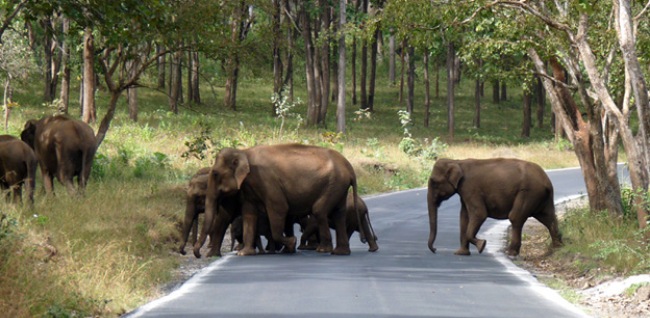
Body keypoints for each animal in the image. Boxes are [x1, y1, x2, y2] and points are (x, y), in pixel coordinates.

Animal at [194, 143, 360, 258]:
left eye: (215, 174)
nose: (199, 255)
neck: (244, 152)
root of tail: (349, 167)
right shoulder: (249, 187)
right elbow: (249, 213)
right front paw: (245, 253)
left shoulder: (267, 180)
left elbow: (279, 208)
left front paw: (292, 243)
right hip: (339, 187)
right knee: (339, 214)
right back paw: (340, 252)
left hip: (334, 184)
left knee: (319, 210)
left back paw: (323, 249)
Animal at [428, 158, 560, 258]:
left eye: (434, 182)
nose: (435, 249)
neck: (457, 162)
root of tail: (546, 180)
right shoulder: (464, 192)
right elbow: (463, 217)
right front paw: (461, 253)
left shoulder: (470, 189)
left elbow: (479, 214)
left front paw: (482, 245)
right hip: (542, 197)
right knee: (549, 218)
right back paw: (557, 249)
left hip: (528, 193)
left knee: (515, 217)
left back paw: (511, 253)